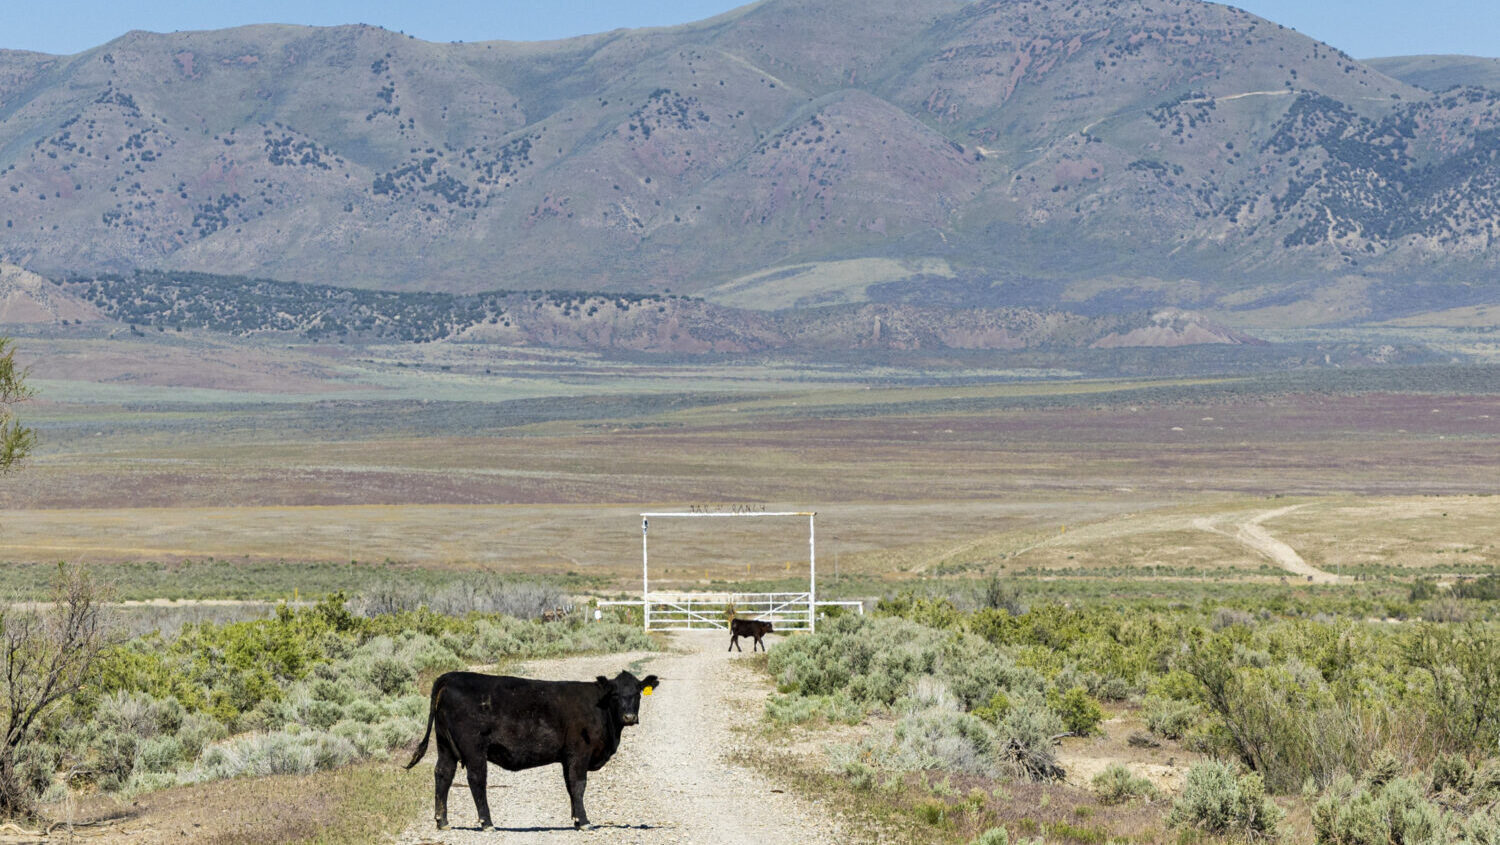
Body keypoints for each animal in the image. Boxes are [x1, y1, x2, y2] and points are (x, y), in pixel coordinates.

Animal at [405, 669, 660, 831]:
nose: (629, 717)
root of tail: (451, 676)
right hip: (473, 748)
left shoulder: (567, 758)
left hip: (445, 745)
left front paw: (576, 820)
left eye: (637, 693)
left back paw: (442, 821)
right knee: (476, 779)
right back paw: (487, 823)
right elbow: (578, 785)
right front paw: (585, 821)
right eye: (615, 694)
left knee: (443, 774)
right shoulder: (579, 753)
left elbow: (570, 787)